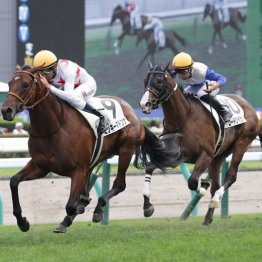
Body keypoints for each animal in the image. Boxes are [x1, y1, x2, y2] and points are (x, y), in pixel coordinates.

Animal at [0, 66, 182, 232]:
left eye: (25, 84)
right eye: (9, 83)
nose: (6, 110)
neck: (54, 126)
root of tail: (134, 114)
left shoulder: (78, 169)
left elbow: (71, 205)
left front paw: (72, 216)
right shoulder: (41, 166)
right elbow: (14, 181)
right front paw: (22, 222)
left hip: (126, 150)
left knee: (119, 184)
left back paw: (100, 209)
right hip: (97, 158)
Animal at [139, 64, 262, 225]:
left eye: (159, 81)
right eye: (145, 80)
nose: (144, 104)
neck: (183, 118)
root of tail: (250, 107)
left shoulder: (205, 155)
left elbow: (192, 181)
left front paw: (203, 186)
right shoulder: (175, 154)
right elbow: (150, 167)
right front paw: (147, 206)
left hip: (242, 143)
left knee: (230, 177)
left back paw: (215, 200)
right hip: (219, 155)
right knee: (216, 185)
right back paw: (207, 219)